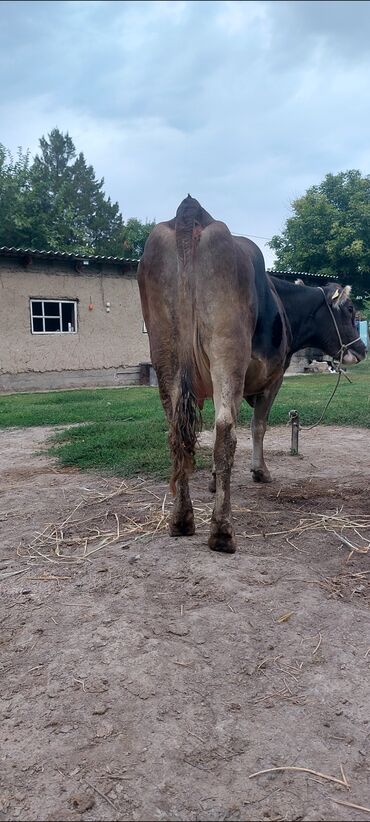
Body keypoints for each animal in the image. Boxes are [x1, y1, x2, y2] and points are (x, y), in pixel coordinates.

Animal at [137, 195, 366, 552]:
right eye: (352, 310)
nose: (362, 349)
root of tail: (191, 214)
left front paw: (213, 482)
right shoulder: (275, 377)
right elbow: (259, 426)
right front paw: (260, 471)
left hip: (165, 354)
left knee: (178, 433)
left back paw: (181, 520)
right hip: (227, 348)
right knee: (225, 433)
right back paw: (221, 531)